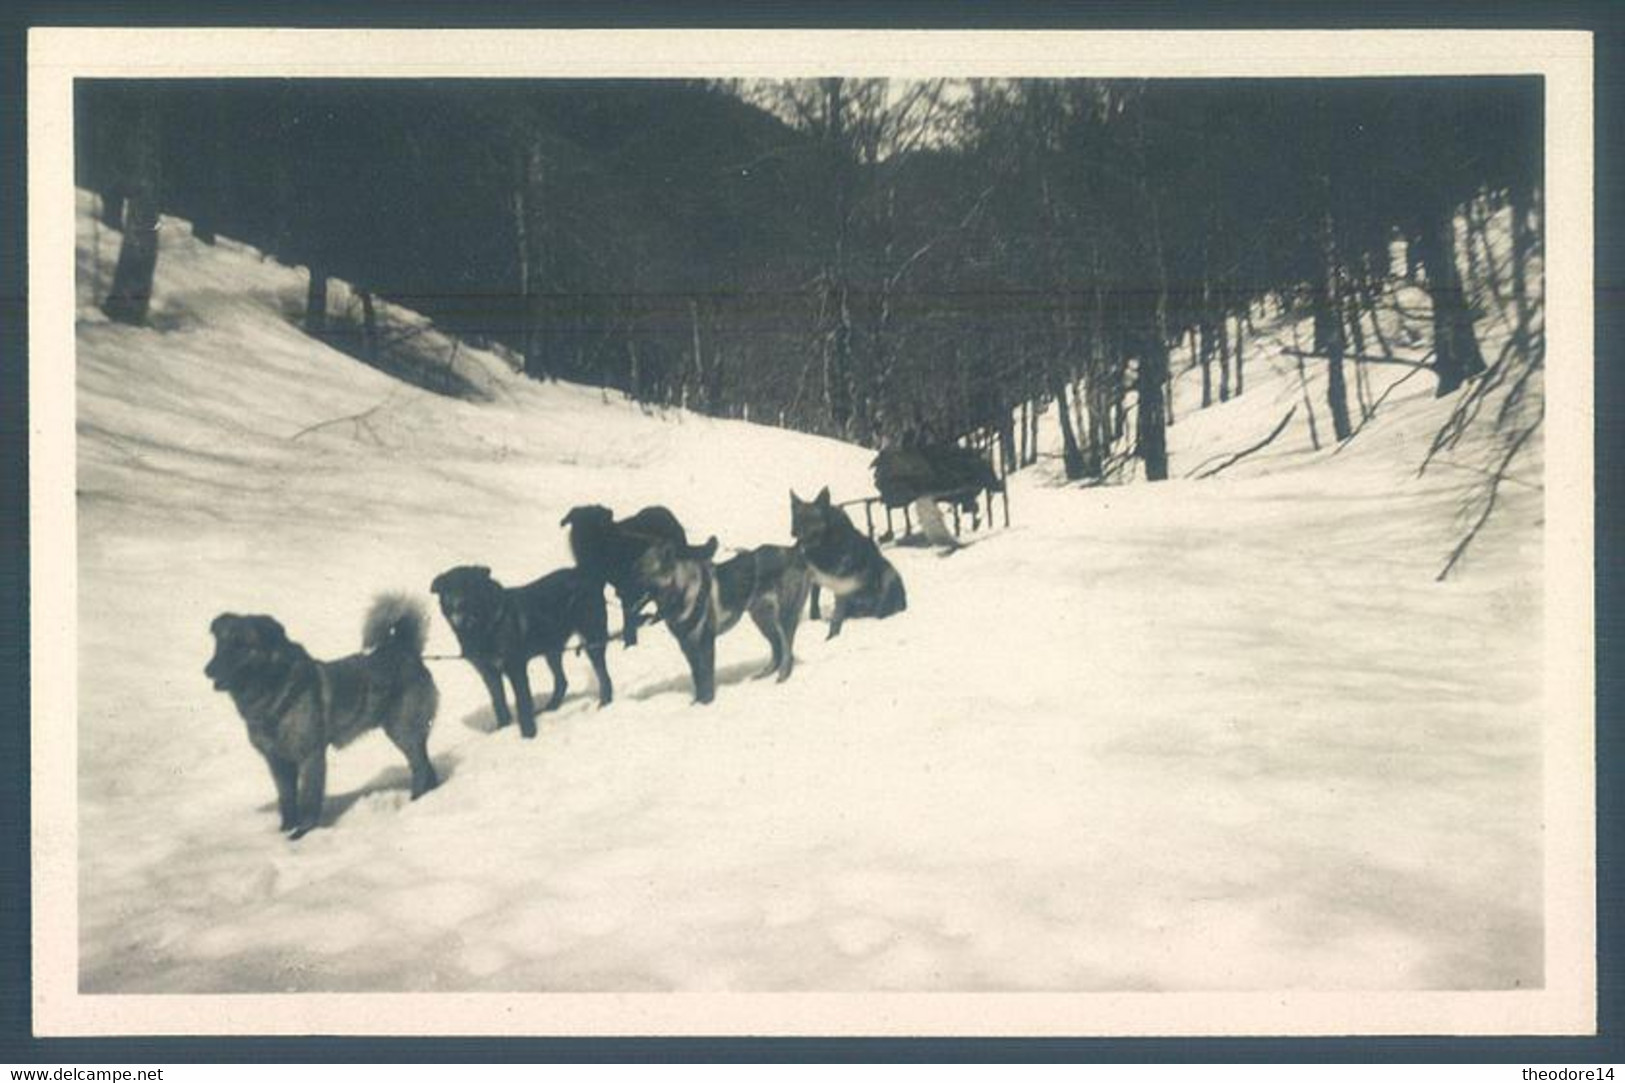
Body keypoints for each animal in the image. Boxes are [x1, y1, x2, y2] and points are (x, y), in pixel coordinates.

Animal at [206, 591, 442, 832]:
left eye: (241, 645)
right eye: (219, 644)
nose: (208, 670)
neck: (273, 689)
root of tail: (404, 649)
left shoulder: (311, 756)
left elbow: (309, 799)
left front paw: (303, 833)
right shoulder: (277, 761)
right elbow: (287, 799)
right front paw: (286, 830)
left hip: (403, 731)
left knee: (421, 767)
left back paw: (416, 800)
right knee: (426, 767)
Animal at [429, 565, 611, 735]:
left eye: (471, 585)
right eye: (449, 588)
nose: (460, 604)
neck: (482, 627)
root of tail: (588, 575)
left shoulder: (515, 668)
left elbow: (522, 703)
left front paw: (528, 735)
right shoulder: (489, 673)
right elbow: (499, 703)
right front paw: (503, 729)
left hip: (592, 639)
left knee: (603, 676)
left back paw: (605, 704)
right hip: (551, 649)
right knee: (562, 681)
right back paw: (551, 707)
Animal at [789, 487, 910, 637]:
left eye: (810, 519)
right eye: (796, 518)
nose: (793, 532)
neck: (824, 546)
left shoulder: (842, 584)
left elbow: (836, 617)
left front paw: (832, 637)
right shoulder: (815, 578)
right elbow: (814, 604)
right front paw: (815, 620)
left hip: (889, 574)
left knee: (881, 609)